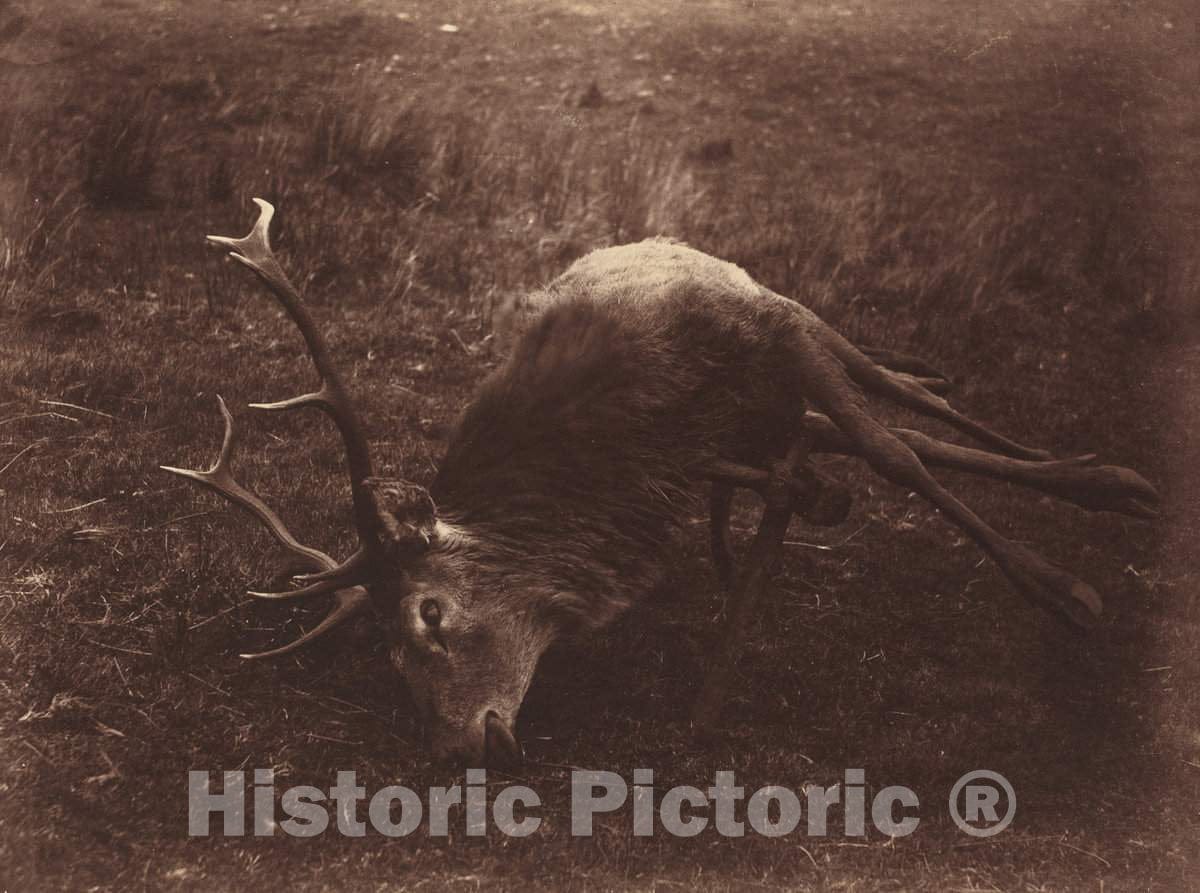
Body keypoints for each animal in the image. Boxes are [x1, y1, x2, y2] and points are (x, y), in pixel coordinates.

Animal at [164, 199, 1159, 767]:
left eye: (429, 613)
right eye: (388, 657)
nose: (452, 748)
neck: (633, 435)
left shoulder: (775, 329)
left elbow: (897, 452)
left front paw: (1065, 588)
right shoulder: (717, 443)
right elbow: (869, 455)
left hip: (797, 330)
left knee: (906, 400)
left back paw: (1105, 476)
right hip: (769, 409)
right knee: (875, 424)